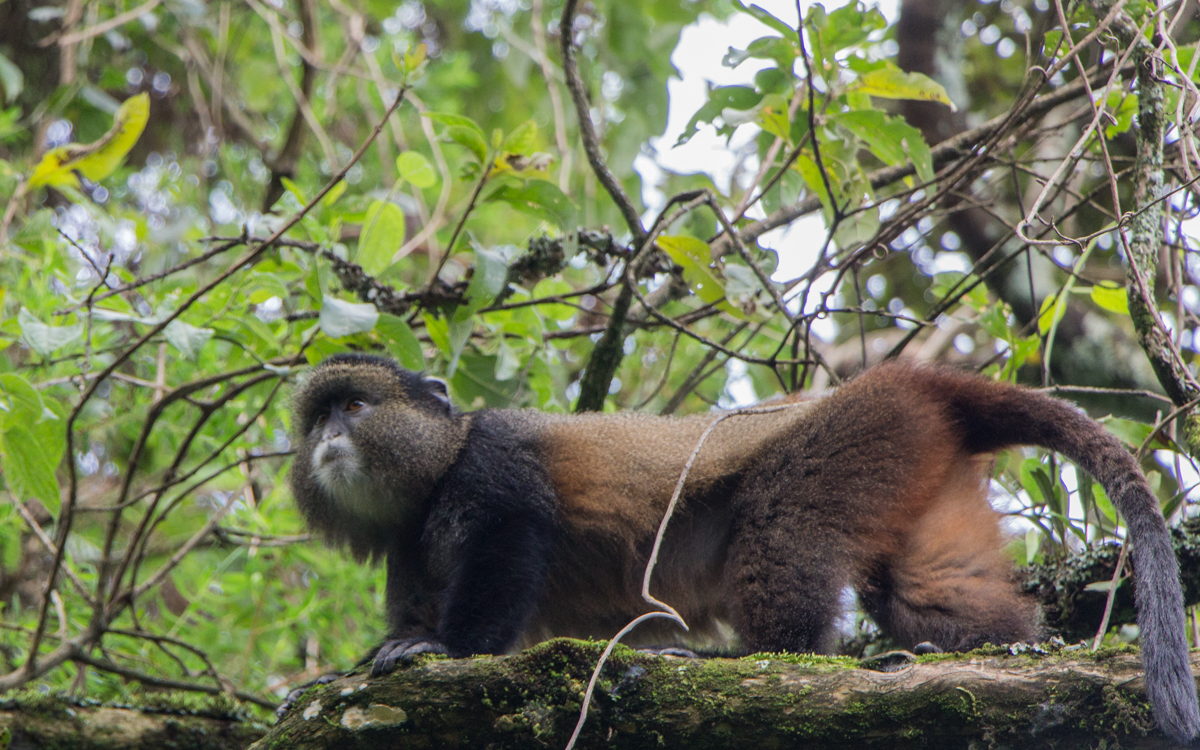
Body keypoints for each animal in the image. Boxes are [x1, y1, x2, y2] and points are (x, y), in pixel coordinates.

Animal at [288, 352, 1200, 745]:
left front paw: (441, 652)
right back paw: (1001, 651)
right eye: (318, 415)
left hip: (855, 436)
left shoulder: (495, 469)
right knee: (923, 593)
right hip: (910, 459)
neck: (436, 471)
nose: (328, 438)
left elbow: (506, 557)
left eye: (354, 407)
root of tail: (919, 381)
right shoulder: (406, 544)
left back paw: (774, 663)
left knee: (780, 536)